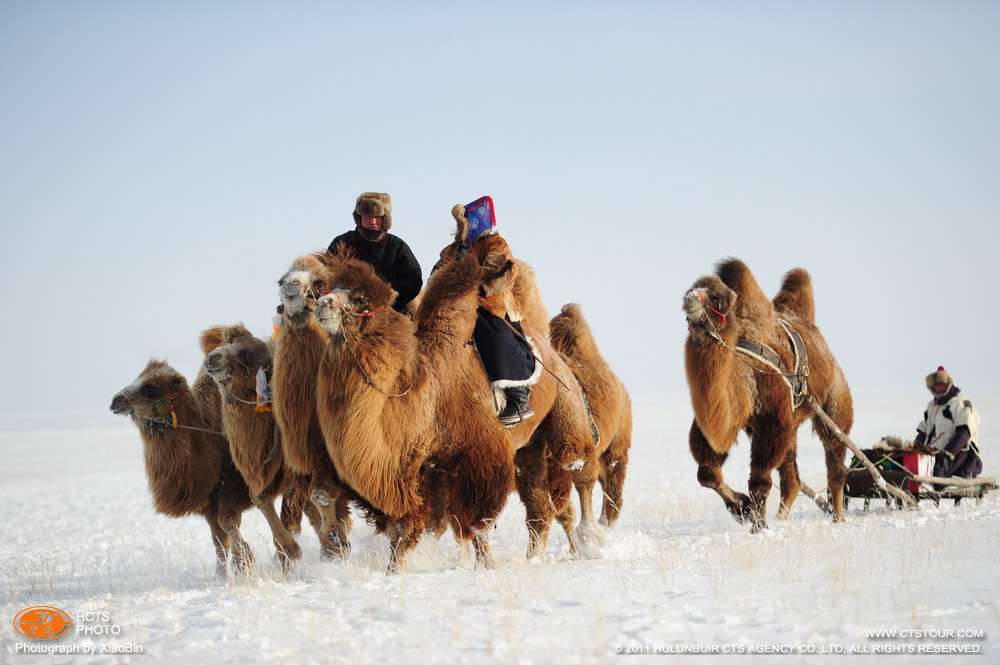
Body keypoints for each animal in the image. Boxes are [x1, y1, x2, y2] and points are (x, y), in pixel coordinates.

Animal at [109, 360, 256, 572]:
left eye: (149, 388)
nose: (115, 401)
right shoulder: (211, 501)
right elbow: (219, 539)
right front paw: (222, 574)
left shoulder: (232, 486)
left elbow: (228, 524)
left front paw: (245, 565)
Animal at [270, 252, 356, 556]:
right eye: (281, 279)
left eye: (318, 282)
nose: (291, 285)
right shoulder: (306, 457)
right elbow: (314, 500)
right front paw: (333, 545)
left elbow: (322, 496)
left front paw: (335, 542)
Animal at [684, 258, 856, 528]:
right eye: (691, 288)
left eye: (717, 298)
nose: (689, 297)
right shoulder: (728, 421)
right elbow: (707, 474)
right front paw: (742, 509)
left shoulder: (771, 418)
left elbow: (759, 481)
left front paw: (758, 526)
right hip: (792, 424)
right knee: (792, 479)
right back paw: (782, 518)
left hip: (835, 403)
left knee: (835, 464)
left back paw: (838, 518)